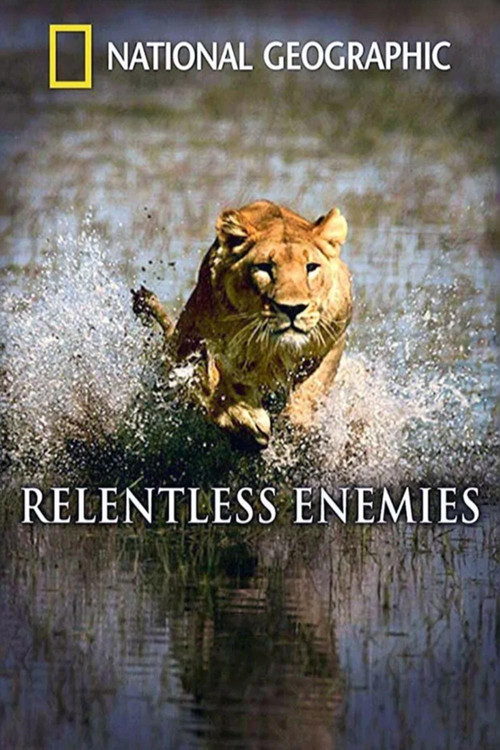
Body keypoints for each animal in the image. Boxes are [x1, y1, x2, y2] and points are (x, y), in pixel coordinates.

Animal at [133, 200, 352, 448]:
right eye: (265, 267)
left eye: (311, 267)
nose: (292, 309)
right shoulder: (193, 342)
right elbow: (216, 382)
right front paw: (246, 416)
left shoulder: (333, 338)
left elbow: (313, 386)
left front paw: (295, 426)